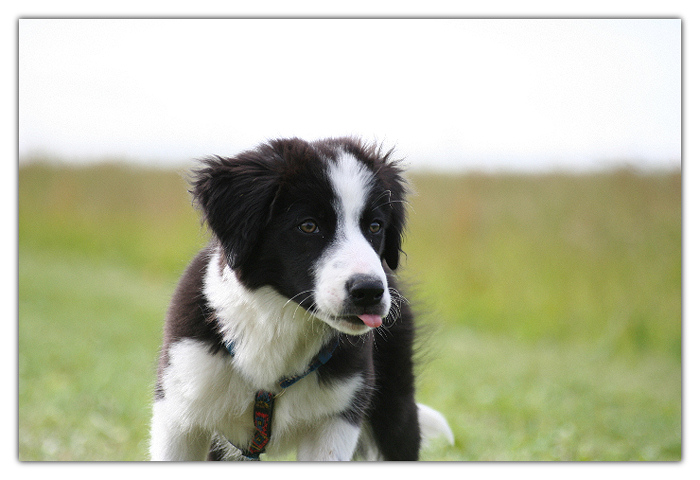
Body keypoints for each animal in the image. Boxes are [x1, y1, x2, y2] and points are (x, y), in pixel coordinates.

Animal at [150, 137, 452, 460]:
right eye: (308, 226)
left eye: (375, 226)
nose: (370, 291)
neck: (280, 319)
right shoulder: (179, 410)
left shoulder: (339, 416)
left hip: (395, 405)